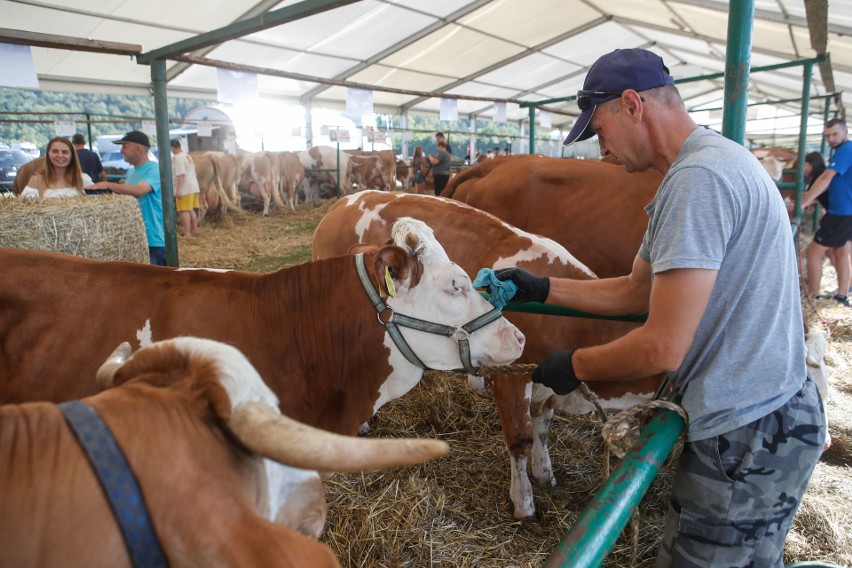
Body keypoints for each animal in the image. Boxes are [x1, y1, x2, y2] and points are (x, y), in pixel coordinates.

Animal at [312, 193, 660, 520]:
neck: (574, 322)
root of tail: (343, 203)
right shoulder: (511, 377)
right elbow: (521, 439)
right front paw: (524, 503)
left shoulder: (548, 380)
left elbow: (543, 428)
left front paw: (545, 474)